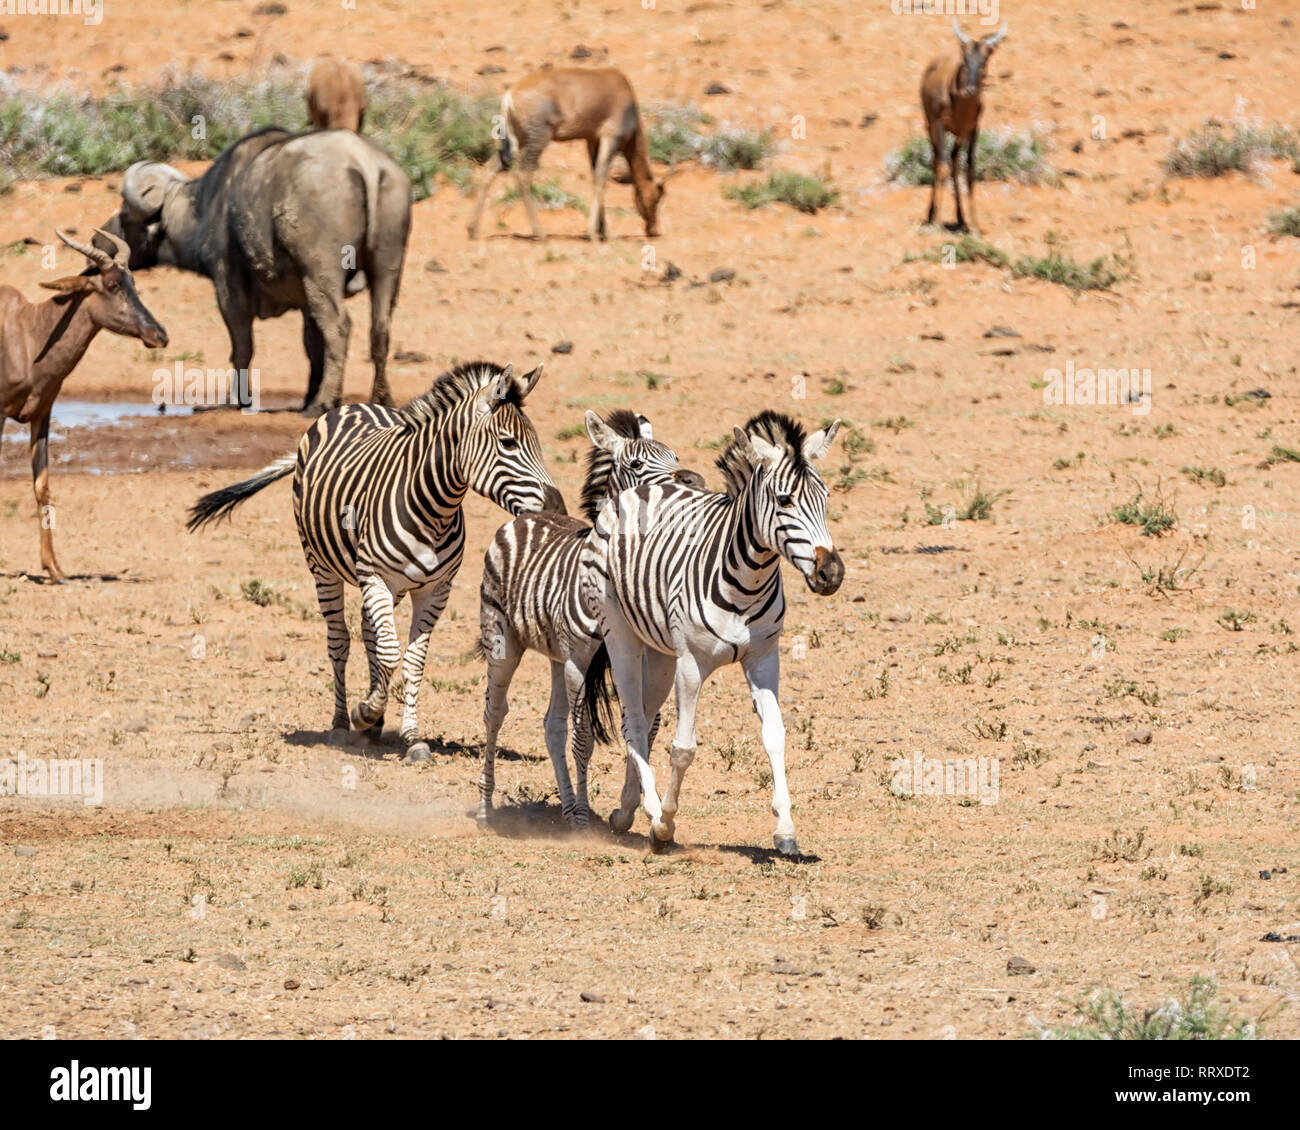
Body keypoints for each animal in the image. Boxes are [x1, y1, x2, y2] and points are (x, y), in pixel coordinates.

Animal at [187, 360, 564, 762]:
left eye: (536, 442)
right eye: (508, 443)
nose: (558, 508)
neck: (435, 509)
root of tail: (349, 406)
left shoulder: (436, 590)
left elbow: (411, 659)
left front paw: (410, 735)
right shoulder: (376, 578)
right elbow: (389, 652)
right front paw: (364, 711)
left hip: (385, 586)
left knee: (370, 634)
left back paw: (374, 721)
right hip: (324, 568)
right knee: (340, 640)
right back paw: (341, 722)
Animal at [476, 408, 705, 828]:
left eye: (675, 456)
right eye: (636, 464)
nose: (692, 480)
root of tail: (531, 515)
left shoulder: (632, 655)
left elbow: (645, 724)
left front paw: (627, 809)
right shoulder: (581, 660)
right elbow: (583, 738)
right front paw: (586, 816)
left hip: (556, 655)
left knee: (552, 725)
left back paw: (567, 806)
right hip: (503, 639)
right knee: (494, 713)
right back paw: (487, 807)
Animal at [581, 410, 844, 856]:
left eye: (825, 498)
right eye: (784, 500)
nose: (831, 573)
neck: (747, 581)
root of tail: (641, 488)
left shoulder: (763, 659)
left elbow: (775, 736)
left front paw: (786, 829)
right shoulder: (691, 664)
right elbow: (684, 748)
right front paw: (665, 825)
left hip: (661, 652)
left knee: (646, 719)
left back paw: (627, 810)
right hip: (621, 636)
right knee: (632, 721)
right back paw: (651, 812)